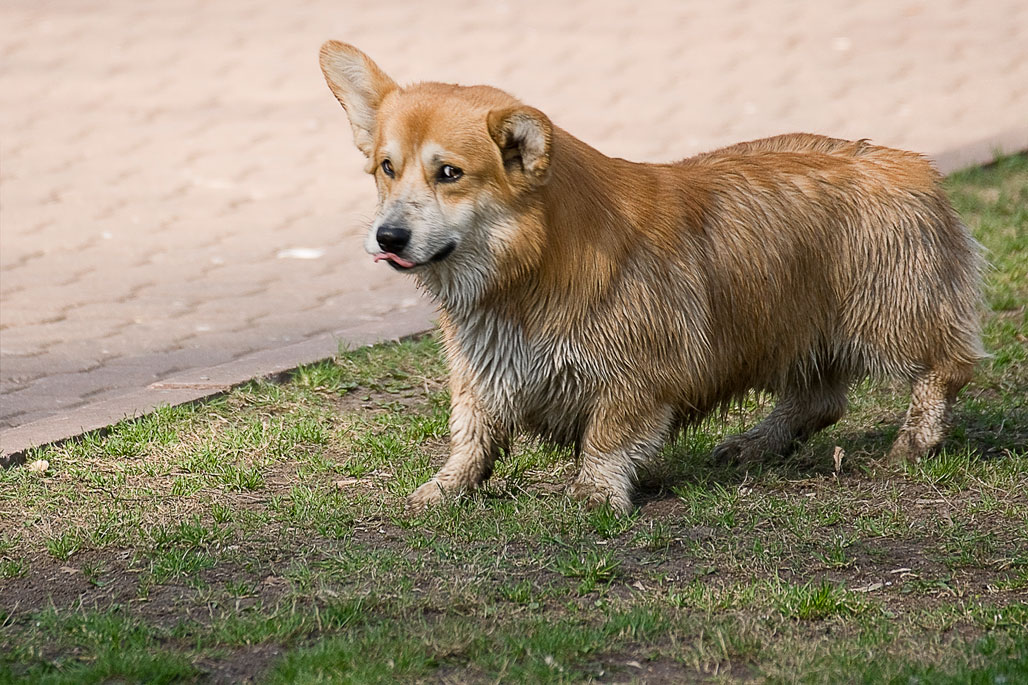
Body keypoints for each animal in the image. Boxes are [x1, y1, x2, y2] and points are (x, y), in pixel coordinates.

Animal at [316, 41, 982, 512]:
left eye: (449, 173)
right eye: (386, 168)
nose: (387, 238)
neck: (528, 269)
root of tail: (919, 168)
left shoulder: (640, 374)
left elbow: (608, 438)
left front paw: (594, 493)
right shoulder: (484, 369)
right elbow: (471, 433)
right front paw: (447, 486)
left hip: (889, 312)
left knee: (946, 366)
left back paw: (914, 443)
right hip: (789, 327)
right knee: (818, 399)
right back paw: (755, 443)